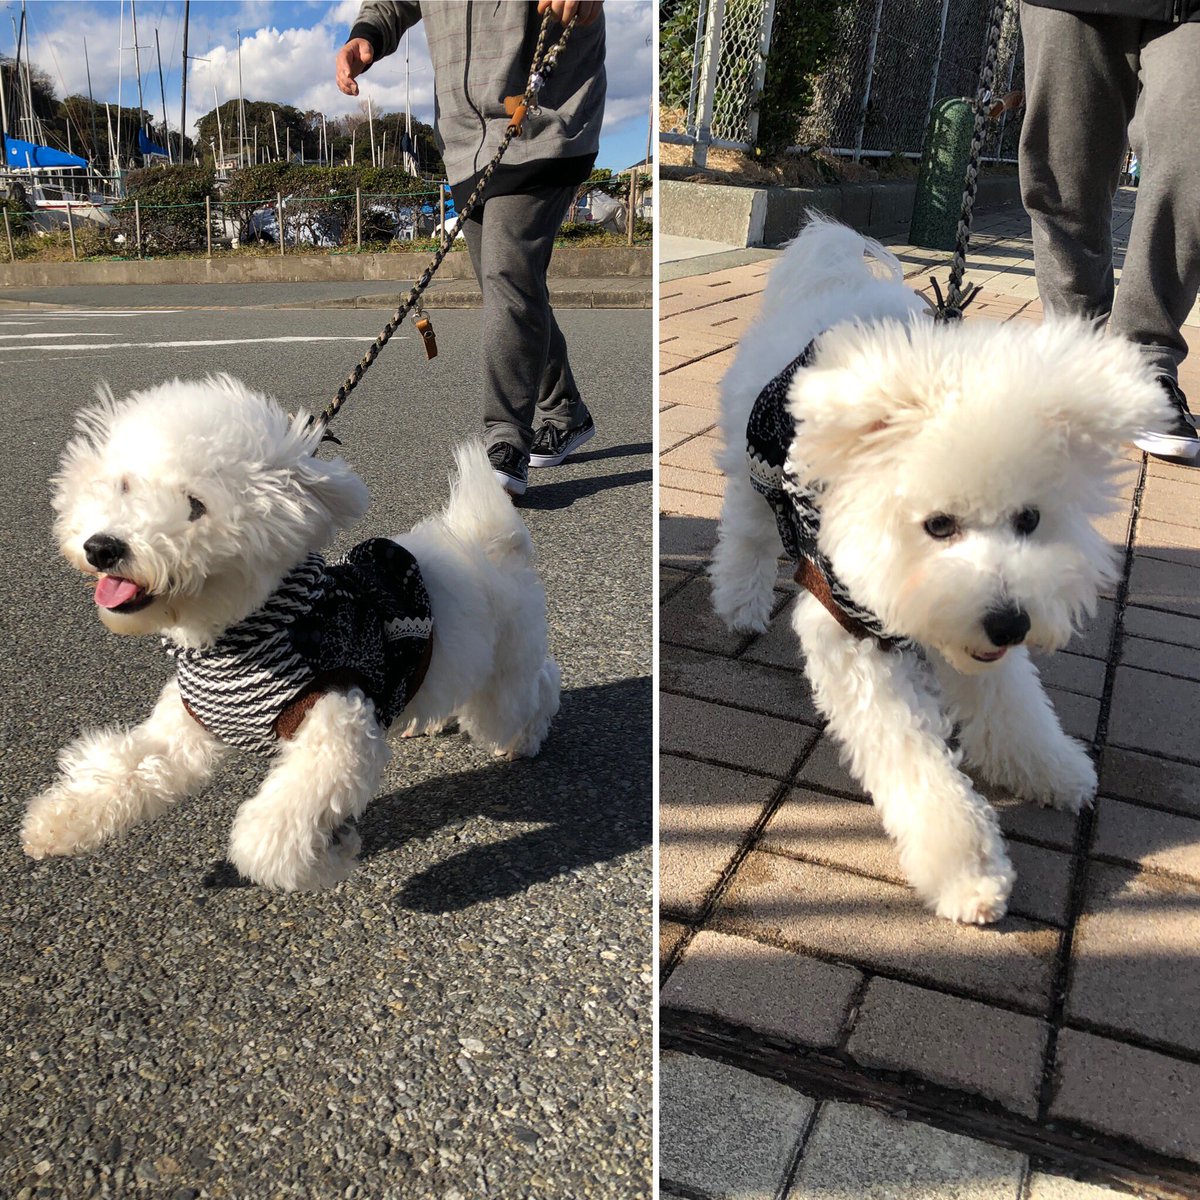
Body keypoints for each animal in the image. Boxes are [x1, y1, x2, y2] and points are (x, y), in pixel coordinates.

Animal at [21, 374, 559, 892]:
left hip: (503, 683)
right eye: (124, 487)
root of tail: (491, 542)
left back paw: (527, 738)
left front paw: (331, 855)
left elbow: (267, 835)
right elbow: (126, 768)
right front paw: (57, 822)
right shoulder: (182, 732)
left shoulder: (338, 726)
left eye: (196, 505)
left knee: (537, 687)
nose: (102, 546)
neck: (243, 638)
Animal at [710, 220, 1171, 921]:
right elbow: (916, 764)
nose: (1010, 624)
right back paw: (739, 604)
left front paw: (1052, 768)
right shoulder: (851, 637)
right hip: (753, 468)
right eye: (937, 525)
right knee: (745, 533)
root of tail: (837, 281)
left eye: (1030, 519)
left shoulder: (984, 636)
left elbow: (1014, 705)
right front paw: (968, 872)